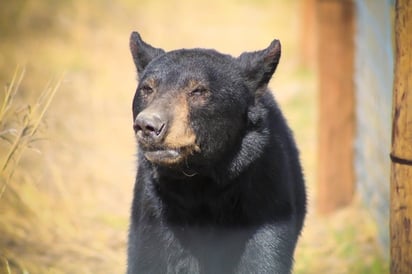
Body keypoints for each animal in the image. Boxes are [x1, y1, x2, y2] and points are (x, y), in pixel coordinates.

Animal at [128, 31, 306, 274]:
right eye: (147, 89)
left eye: (198, 91)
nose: (148, 125)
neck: (201, 182)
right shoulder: (156, 210)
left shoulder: (265, 201)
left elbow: (262, 258)